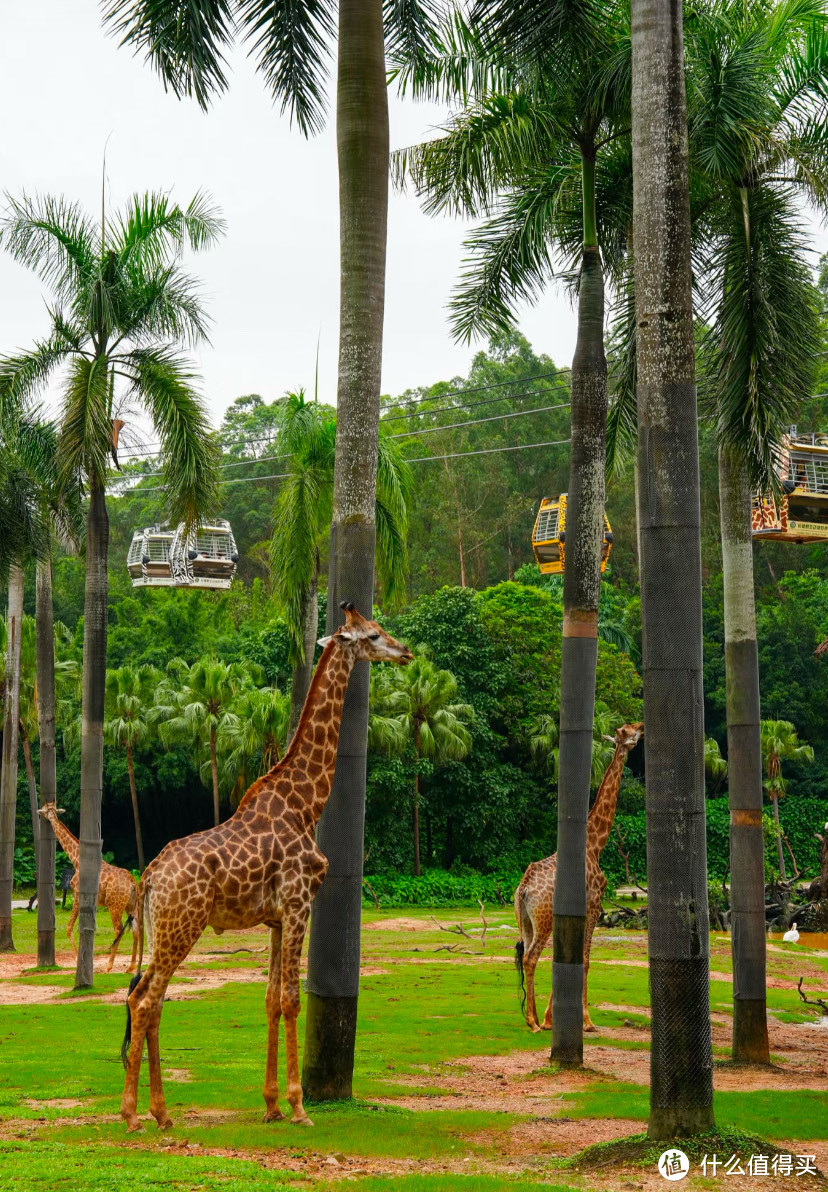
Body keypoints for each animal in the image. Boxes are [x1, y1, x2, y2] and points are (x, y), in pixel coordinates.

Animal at [37, 805, 139, 972]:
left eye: (45, 809)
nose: (39, 812)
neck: (77, 860)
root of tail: (132, 882)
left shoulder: (77, 895)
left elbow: (69, 927)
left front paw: (77, 959)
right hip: (130, 905)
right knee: (136, 929)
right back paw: (130, 967)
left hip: (114, 906)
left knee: (119, 929)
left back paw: (109, 966)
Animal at [116, 605, 414, 1134]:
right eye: (374, 634)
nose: (407, 652)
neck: (306, 804)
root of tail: (148, 878)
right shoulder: (298, 904)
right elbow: (293, 999)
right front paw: (299, 1108)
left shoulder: (275, 918)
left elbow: (272, 999)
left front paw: (272, 1105)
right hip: (182, 927)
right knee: (147, 1000)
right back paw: (134, 1115)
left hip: (162, 930)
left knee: (144, 999)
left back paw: (161, 1113)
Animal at [514, 719, 643, 1029]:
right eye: (626, 731)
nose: (643, 726)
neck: (595, 844)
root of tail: (524, 888)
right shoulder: (594, 906)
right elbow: (584, 961)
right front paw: (586, 1021)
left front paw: (552, 1018)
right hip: (544, 919)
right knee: (531, 957)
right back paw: (533, 1021)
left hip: (525, 919)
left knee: (525, 954)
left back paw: (533, 1018)